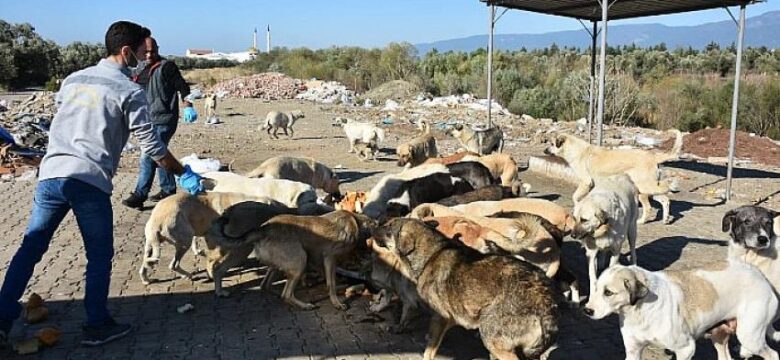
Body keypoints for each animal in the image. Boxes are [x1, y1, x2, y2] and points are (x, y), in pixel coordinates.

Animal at [139, 193, 282, 286]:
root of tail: (157, 222)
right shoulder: (214, 238)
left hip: (149, 245)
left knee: (145, 264)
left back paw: (146, 280)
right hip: (184, 241)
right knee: (174, 265)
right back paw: (188, 275)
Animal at [207, 211, 378, 310]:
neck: (356, 221)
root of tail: (264, 228)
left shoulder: (319, 260)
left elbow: (328, 279)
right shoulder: (329, 258)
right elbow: (331, 283)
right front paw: (337, 302)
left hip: (280, 264)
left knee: (265, 284)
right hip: (300, 261)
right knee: (286, 294)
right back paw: (304, 305)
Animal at [370, 219, 560, 360]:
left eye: (388, 227)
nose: (372, 227)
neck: (431, 255)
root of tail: (545, 300)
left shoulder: (440, 317)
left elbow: (429, 350)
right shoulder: (451, 317)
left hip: (492, 337)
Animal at [544, 129, 684, 225]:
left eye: (551, 143)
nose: (544, 151)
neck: (577, 151)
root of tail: (653, 157)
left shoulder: (586, 182)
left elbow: (575, 197)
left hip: (643, 188)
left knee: (650, 206)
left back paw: (642, 221)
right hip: (649, 189)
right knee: (665, 200)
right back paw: (666, 219)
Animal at [584, 262, 780, 360]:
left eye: (608, 292)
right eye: (596, 288)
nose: (587, 311)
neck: (640, 311)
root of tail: (759, 275)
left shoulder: (686, 349)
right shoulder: (633, 351)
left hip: (750, 337)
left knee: (773, 355)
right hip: (719, 336)